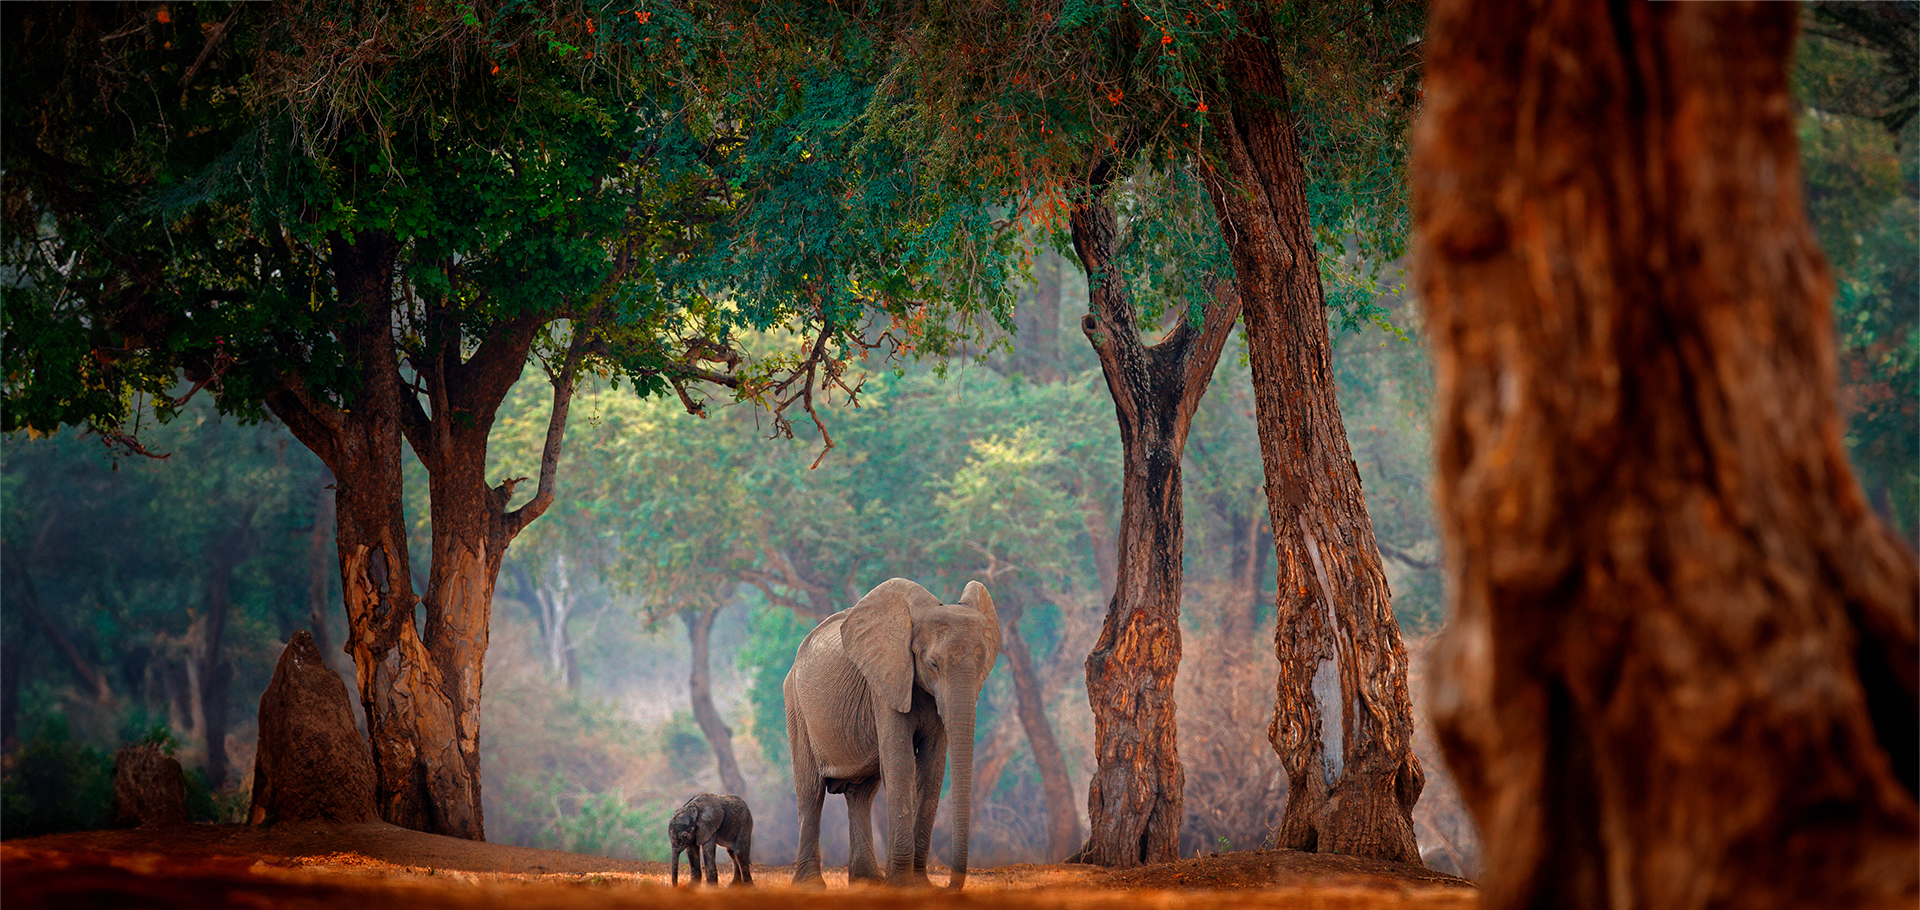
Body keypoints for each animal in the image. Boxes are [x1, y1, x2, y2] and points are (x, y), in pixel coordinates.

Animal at [784, 577, 1001, 888]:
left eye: (983, 662)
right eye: (933, 664)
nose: (948, 887)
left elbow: (932, 768)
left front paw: (920, 885)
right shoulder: (885, 684)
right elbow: (901, 763)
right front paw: (901, 884)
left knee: (861, 794)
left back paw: (867, 881)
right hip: (796, 705)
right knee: (810, 791)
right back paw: (811, 885)